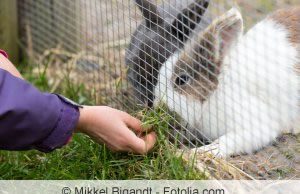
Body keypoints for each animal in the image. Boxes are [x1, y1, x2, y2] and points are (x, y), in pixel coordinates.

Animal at [155, 7, 300, 158]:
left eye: (181, 80)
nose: (158, 105)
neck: (213, 95)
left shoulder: (255, 127)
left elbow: (228, 140)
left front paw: (207, 151)